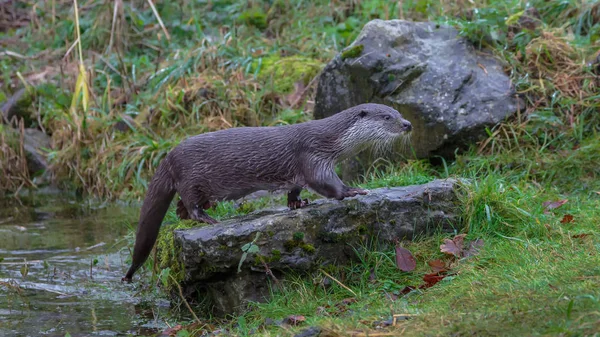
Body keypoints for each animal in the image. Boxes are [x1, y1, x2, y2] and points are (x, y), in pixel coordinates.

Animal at [122, 103, 412, 282]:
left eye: (397, 112)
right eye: (387, 117)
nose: (408, 124)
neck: (333, 140)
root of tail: (169, 155)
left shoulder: (300, 171)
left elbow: (296, 189)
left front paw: (298, 203)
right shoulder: (313, 155)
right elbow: (325, 183)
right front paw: (352, 190)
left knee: (182, 207)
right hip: (192, 178)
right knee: (190, 203)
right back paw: (207, 219)